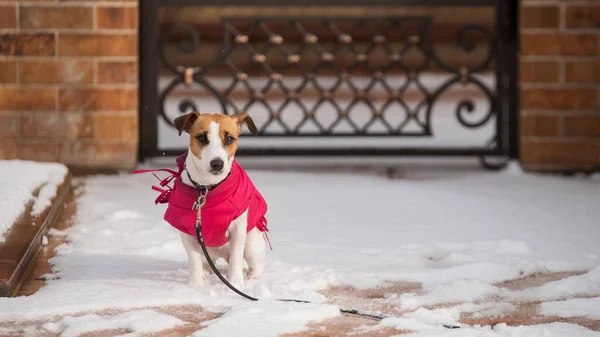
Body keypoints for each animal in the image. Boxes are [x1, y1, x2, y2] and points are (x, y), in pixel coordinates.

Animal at [142, 111, 268, 288]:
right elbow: (194, 260)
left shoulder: (238, 229)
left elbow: (236, 258)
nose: (217, 164)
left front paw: (235, 283)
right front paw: (195, 286)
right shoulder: (188, 232)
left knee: (255, 264)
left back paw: (250, 278)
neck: (207, 189)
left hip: (251, 242)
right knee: (206, 263)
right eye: (201, 137)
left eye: (229, 138)